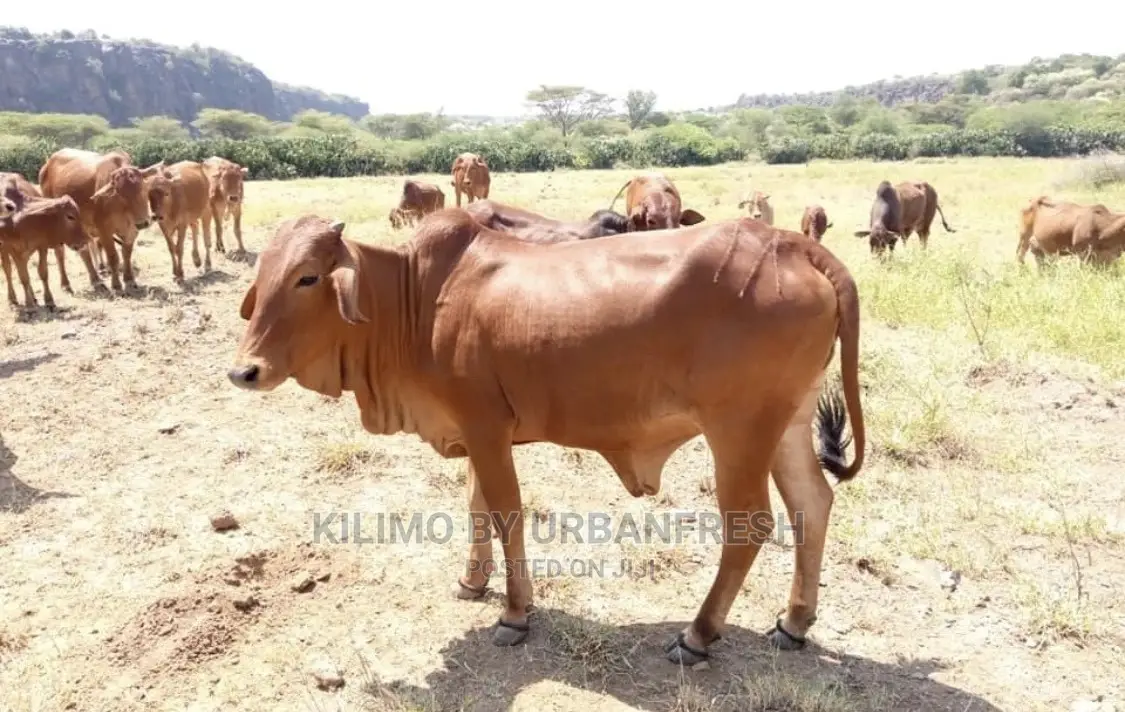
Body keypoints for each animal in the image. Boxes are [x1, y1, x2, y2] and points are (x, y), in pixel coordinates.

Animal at [1, 173, 91, 310]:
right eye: (70, 216)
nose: (86, 240)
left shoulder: (41, 246)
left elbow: (42, 272)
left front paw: (48, 300)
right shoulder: (13, 249)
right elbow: (23, 277)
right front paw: (29, 305)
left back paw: (33, 296)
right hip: (5, 250)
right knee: (8, 270)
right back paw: (13, 299)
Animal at [37, 148, 164, 292]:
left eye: (143, 187)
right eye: (119, 194)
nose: (143, 223)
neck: (122, 209)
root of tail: (47, 165)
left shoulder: (131, 231)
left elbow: (126, 254)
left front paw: (129, 280)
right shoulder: (104, 231)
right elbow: (113, 257)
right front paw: (116, 285)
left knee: (84, 251)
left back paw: (96, 280)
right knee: (60, 253)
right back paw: (66, 284)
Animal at [227, 209, 866, 666]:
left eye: (308, 277)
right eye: (262, 276)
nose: (243, 372)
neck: (413, 301)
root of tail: (793, 243)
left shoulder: (486, 427)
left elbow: (505, 511)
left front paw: (515, 612)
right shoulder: (473, 431)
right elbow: (475, 505)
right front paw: (472, 580)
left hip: (738, 430)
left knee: (750, 524)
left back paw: (698, 635)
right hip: (786, 424)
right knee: (813, 503)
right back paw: (794, 623)